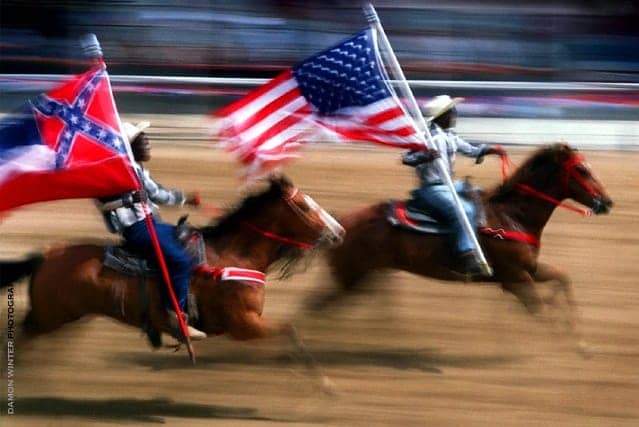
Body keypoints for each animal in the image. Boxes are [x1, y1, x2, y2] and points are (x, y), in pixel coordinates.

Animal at [1, 175, 344, 384]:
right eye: (304, 205)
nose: (338, 231)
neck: (233, 256)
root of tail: (47, 255)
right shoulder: (242, 324)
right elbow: (290, 332)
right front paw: (326, 384)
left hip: (67, 318)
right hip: (50, 317)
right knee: (21, 338)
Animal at [310, 144, 616, 352]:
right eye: (582, 170)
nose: (607, 202)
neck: (512, 216)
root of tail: (338, 223)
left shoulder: (529, 269)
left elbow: (563, 279)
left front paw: (582, 343)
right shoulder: (515, 278)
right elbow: (539, 309)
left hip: (364, 275)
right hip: (351, 277)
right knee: (313, 310)